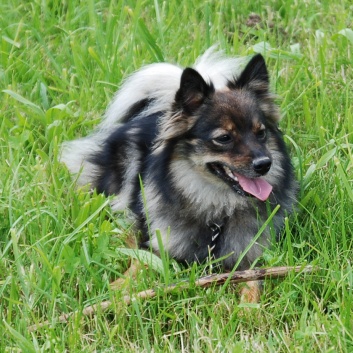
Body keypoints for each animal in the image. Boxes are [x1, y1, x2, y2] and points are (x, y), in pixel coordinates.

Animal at [61, 48, 296, 296]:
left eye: (261, 133)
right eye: (224, 138)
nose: (264, 164)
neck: (216, 214)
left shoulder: (249, 257)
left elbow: (252, 286)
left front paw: (247, 306)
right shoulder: (157, 243)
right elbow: (139, 262)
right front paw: (117, 288)